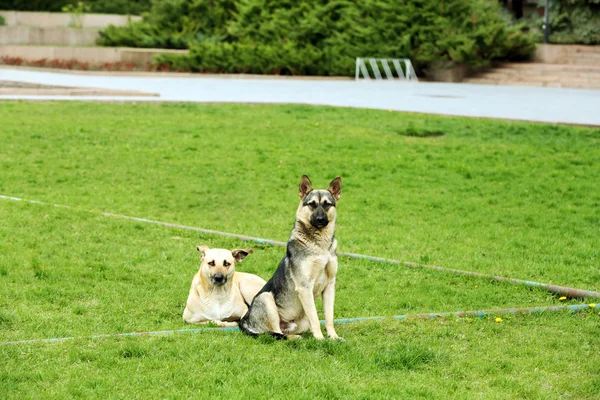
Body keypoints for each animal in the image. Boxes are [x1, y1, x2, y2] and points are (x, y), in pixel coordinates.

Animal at [239, 175, 342, 340]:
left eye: (327, 205)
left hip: (302, 320)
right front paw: (320, 339)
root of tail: (244, 321)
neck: (320, 246)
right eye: (312, 205)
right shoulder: (304, 287)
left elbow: (329, 318)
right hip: (266, 299)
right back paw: (295, 338)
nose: (320, 219)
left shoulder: (330, 286)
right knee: (277, 334)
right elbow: (315, 318)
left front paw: (333, 337)